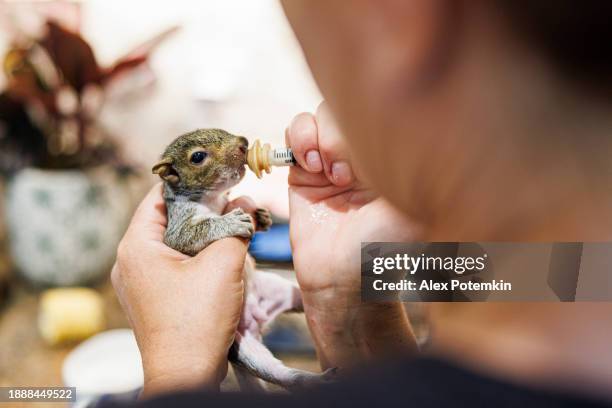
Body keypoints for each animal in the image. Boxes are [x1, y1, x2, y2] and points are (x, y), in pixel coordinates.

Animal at [152, 129, 334, 390]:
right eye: (197, 157)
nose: (243, 143)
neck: (213, 199)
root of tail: (258, 321)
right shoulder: (176, 230)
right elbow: (196, 232)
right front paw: (232, 221)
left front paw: (262, 215)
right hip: (240, 348)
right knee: (280, 374)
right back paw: (313, 380)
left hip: (276, 287)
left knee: (300, 300)